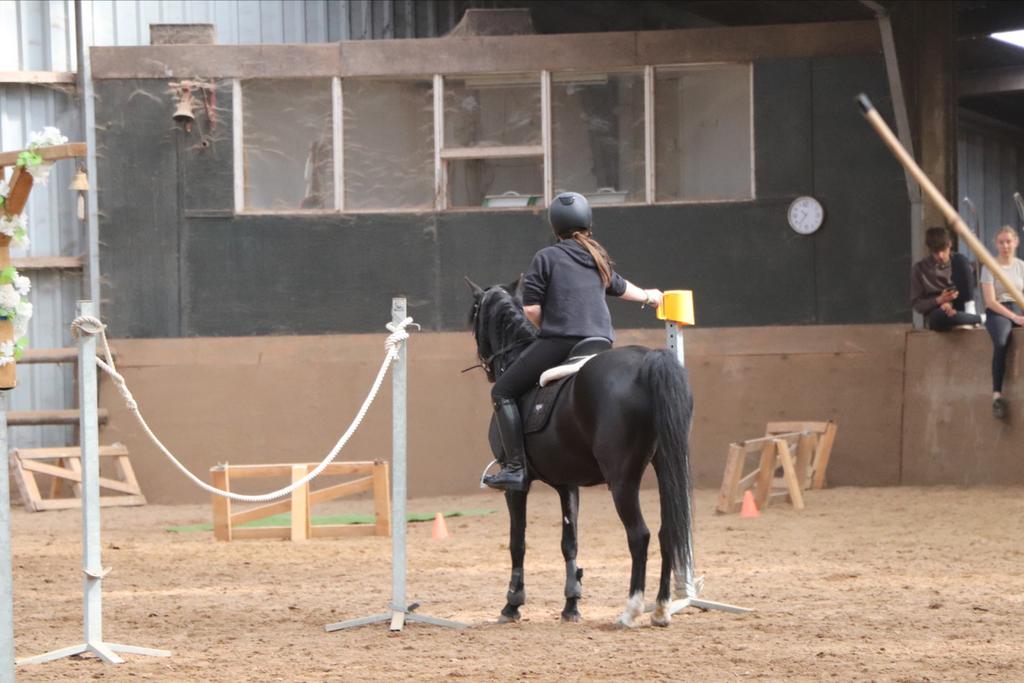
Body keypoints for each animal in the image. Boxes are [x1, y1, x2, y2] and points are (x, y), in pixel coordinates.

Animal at [466, 276, 695, 627]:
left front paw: (512, 605)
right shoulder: (567, 483)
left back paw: (631, 610)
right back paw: (660, 609)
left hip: (622, 479)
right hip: (667, 466)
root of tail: (647, 360)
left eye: (475, 313)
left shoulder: (516, 487)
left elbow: (518, 542)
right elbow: (569, 543)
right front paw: (571, 605)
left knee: (639, 535)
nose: (488, 367)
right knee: (667, 531)